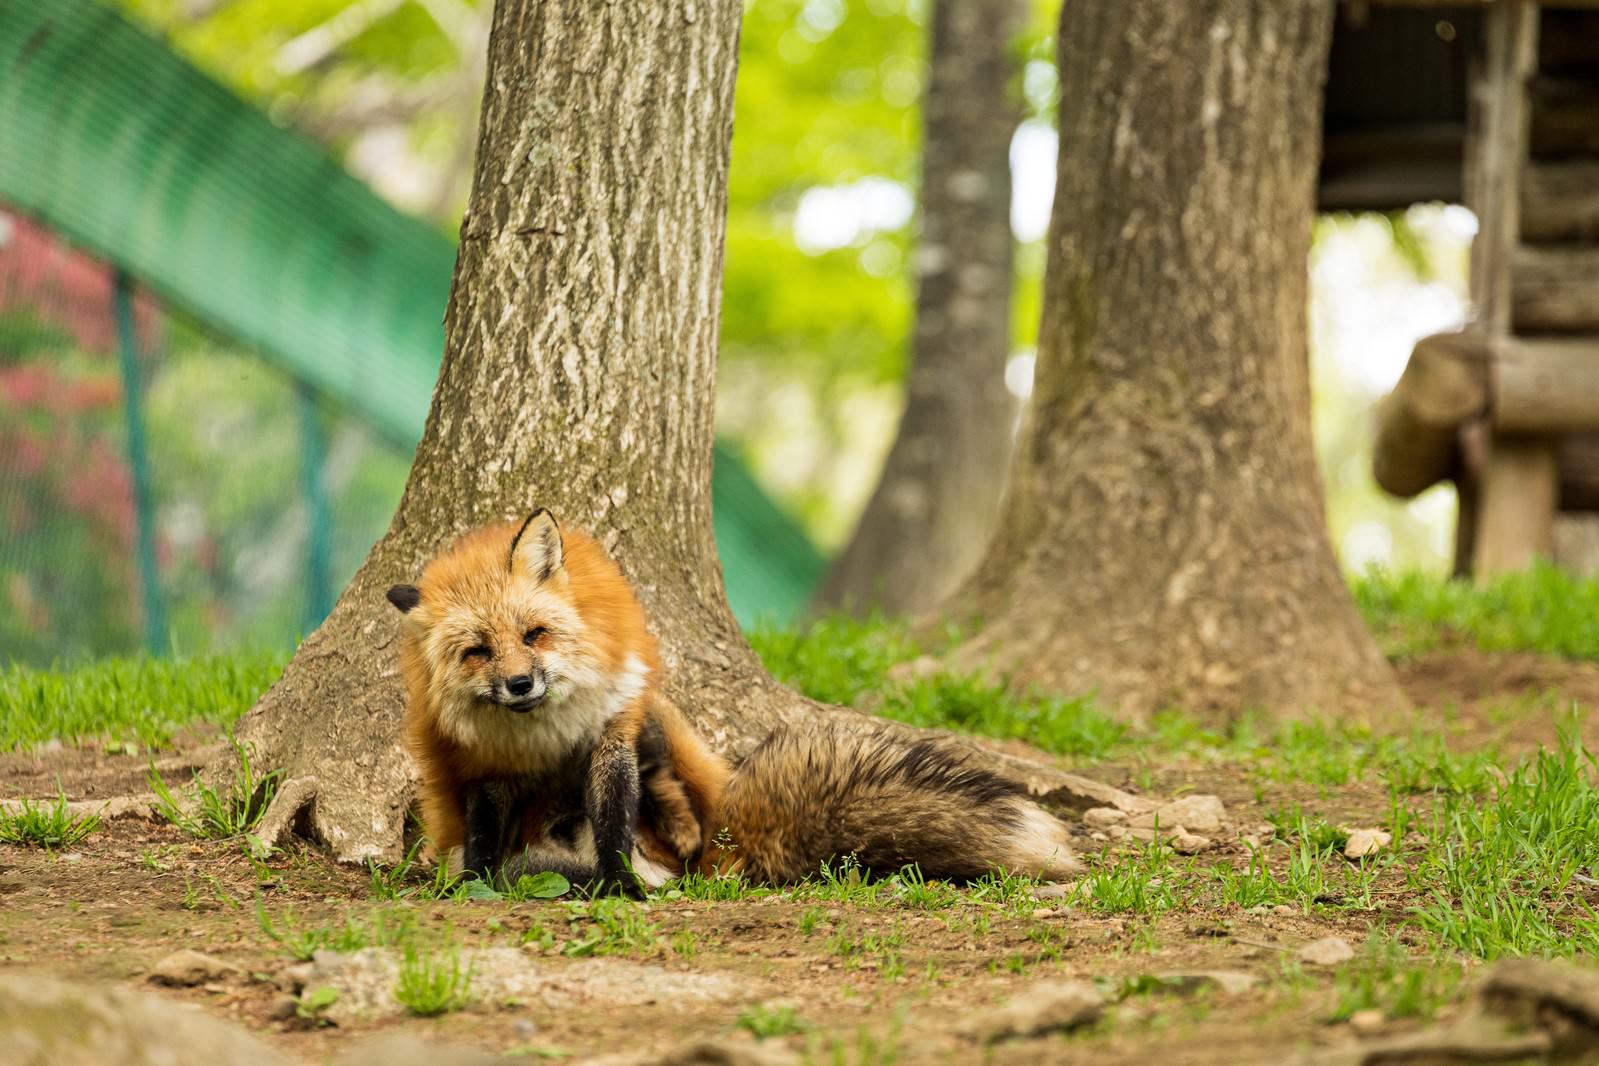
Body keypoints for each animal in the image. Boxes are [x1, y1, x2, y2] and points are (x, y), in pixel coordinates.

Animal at [390, 508, 1087, 894]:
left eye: (535, 635)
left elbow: (615, 821)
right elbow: (482, 839)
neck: (546, 731)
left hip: (663, 725)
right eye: (478, 651)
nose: (520, 685)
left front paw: (619, 889)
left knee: (672, 812)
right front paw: (475, 886)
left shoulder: (614, 731)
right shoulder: (482, 769)